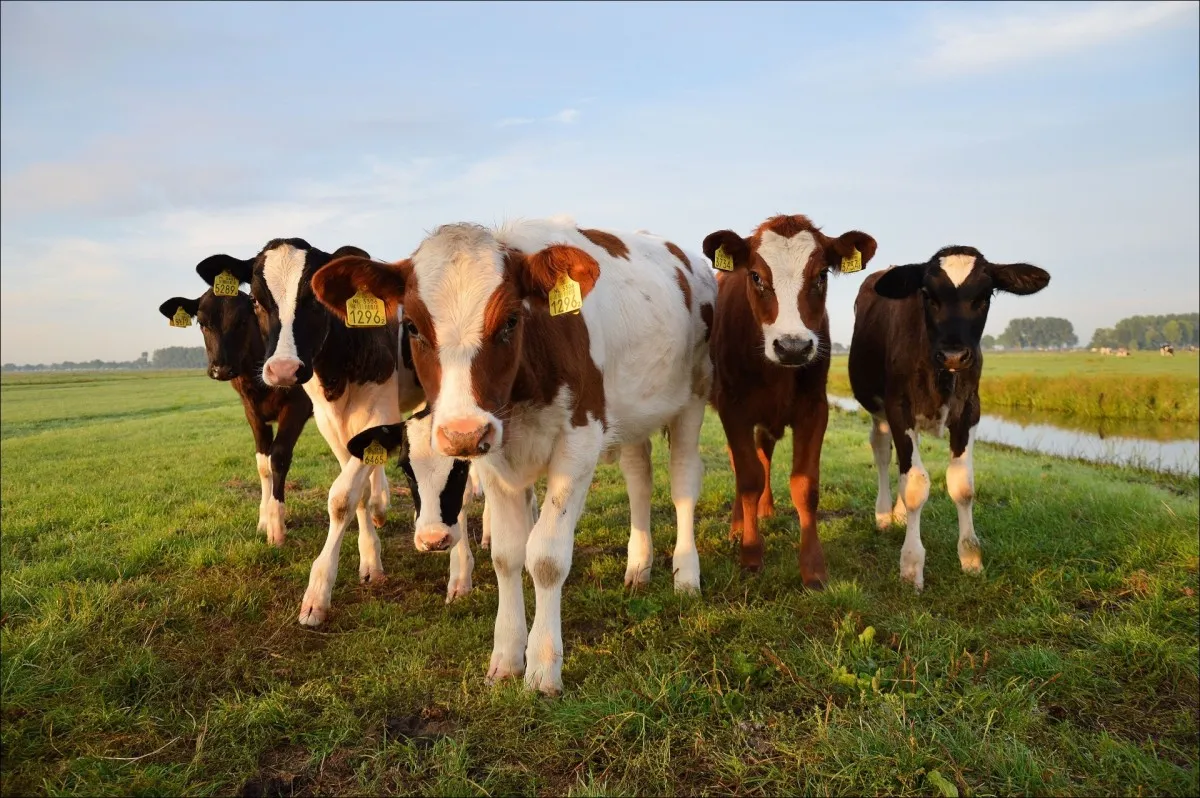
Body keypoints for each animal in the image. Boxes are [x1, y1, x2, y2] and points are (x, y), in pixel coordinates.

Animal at [158, 263, 312, 546]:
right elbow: (263, 464)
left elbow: (279, 457)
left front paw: (277, 527)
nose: (221, 369)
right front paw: (264, 521)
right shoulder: (252, 411)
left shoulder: (297, 406)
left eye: (242, 321)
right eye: (202, 323)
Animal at [208, 238, 474, 624]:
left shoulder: (377, 410)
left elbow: (341, 497)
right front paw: (370, 560)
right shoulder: (329, 422)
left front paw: (317, 593)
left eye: (316, 299)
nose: (283, 369)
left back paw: (462, 568)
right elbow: (357, 491)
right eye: (256, 301)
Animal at [311, 218, 717, 694]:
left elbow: (546, 556)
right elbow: (507, 554)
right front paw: (506, 656)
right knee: (639, 479)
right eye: (410, 326)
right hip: (633, 414)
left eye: (510, 320)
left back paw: (686, 575)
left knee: (683, 482)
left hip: (693, 397)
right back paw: (639, 565)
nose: (462, 431)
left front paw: (542, 665)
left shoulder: (580, 442)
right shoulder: (493, 454)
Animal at [702, 215, 877, 588]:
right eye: (755, 276)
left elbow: (805, 485)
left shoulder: (814, 408)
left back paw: (765, 509)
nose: (793, 347)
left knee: (764, 452)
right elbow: (748, 478)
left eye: (822, 274)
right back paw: (738, 526)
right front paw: (751, 555)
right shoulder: (732, 408)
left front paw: (813, 568)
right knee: (742, 464)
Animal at [848, 245, 1050, 591]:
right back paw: (884, 514)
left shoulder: (969, 411)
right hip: (878, 410)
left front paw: (970, 557)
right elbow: (916, 485)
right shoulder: (898, 409)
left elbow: (962, 485)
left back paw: (898, 514)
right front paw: (911, 565)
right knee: (882, 452)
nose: (954, 355)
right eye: (928, 295)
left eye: (984, 296)